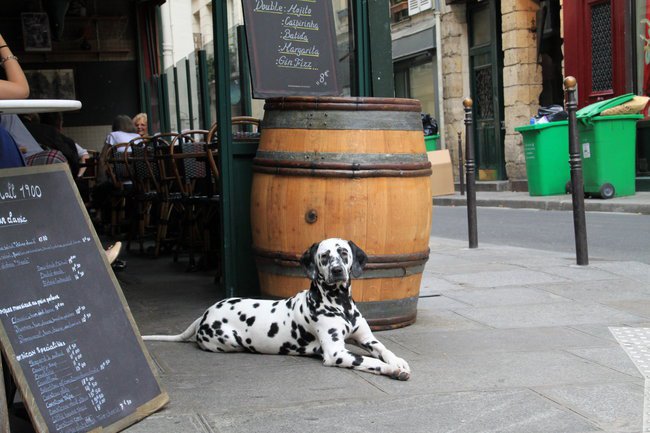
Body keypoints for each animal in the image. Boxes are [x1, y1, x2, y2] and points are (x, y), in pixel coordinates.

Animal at [144, 238, 412, 380]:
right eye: (325, 256)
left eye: (343, 253)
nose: (337, 271)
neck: (340, 304)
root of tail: (206, 313)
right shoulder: (336, 353)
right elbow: (369, 360)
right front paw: (392, 369)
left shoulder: (366, 338)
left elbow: (384, 349)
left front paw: (398, 361)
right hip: (229, 341)